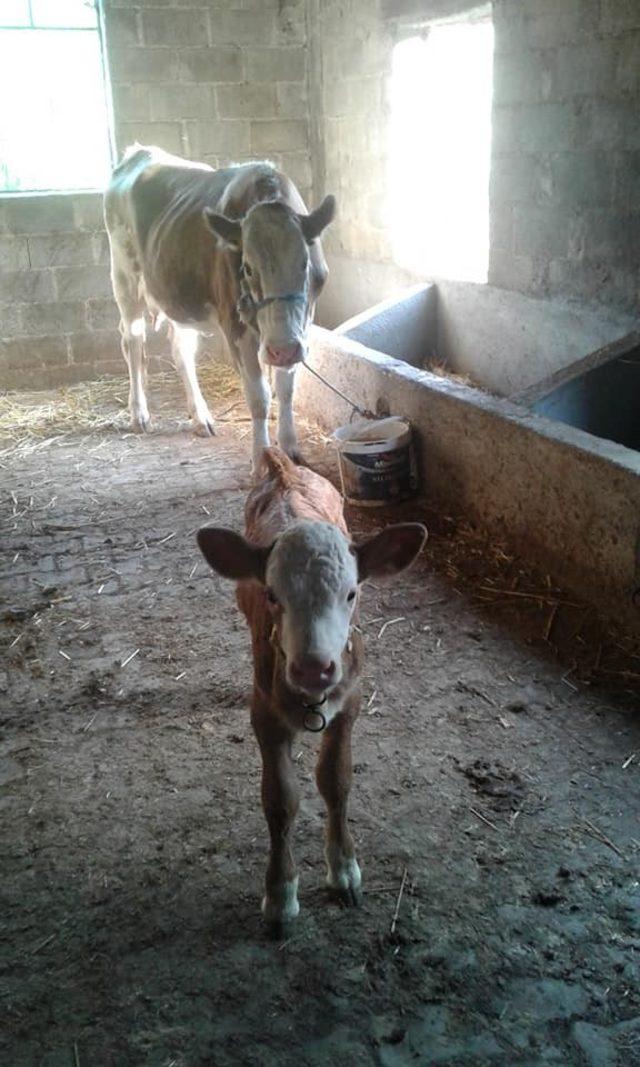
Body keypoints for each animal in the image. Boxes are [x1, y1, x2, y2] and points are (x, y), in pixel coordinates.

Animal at [105, 144, 334, 469]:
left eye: (306, 263)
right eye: (247, 268)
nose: (282, 350)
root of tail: (140, 152)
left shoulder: (302, 326)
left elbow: (286, 389)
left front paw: (290, 449)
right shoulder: (235, 325)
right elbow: (260, 397)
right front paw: (261, 458)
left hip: (179, 296)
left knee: (181, 351)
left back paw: (200, 416)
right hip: (125, 280)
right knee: (133, 343)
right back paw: (139, 413)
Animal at [195, 446, 424, 930]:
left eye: (352, 593)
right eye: (272, 595)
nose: (314, 669)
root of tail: (284, 467)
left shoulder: (350, 701)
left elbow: (335, 781)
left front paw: (344, 870)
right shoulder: (263, 713)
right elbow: (280, 801)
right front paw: (281, 894)